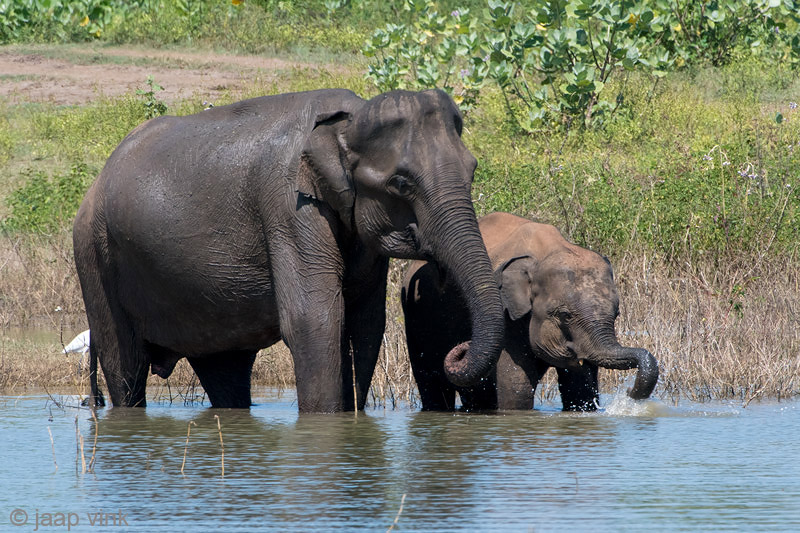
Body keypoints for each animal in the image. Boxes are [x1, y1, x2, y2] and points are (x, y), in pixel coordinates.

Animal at [73, 88, 500, 412]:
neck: (347, 121)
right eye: (400, 183)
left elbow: (365, 325)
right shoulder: (287, 206)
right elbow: (315, 320)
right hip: (94, 254)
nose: (457, 351)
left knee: (225, 371)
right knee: (125, 367)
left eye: (473, 170)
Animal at [400, 212, 656, 412]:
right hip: (416, 316)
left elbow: (579, 387)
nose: (629, 393)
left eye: (616, 315)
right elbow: (517, 388)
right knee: (433, 383)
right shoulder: (507, 314)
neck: (546, 253)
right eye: (565, 315)